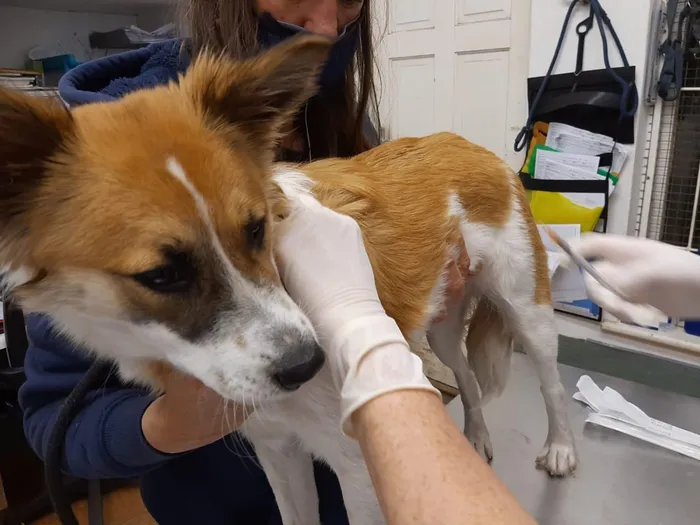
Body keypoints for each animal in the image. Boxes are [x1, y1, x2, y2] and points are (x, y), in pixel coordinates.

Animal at [0, 35, 576, 525]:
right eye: (161, 275)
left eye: (257, 228)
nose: (309, 364)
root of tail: (468, 145)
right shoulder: (277, 451)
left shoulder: (358, 465)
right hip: (440, 325)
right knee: (469, 380)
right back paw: (476, 437)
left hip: (527, 310)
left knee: (551, 383)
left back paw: (560, 447)